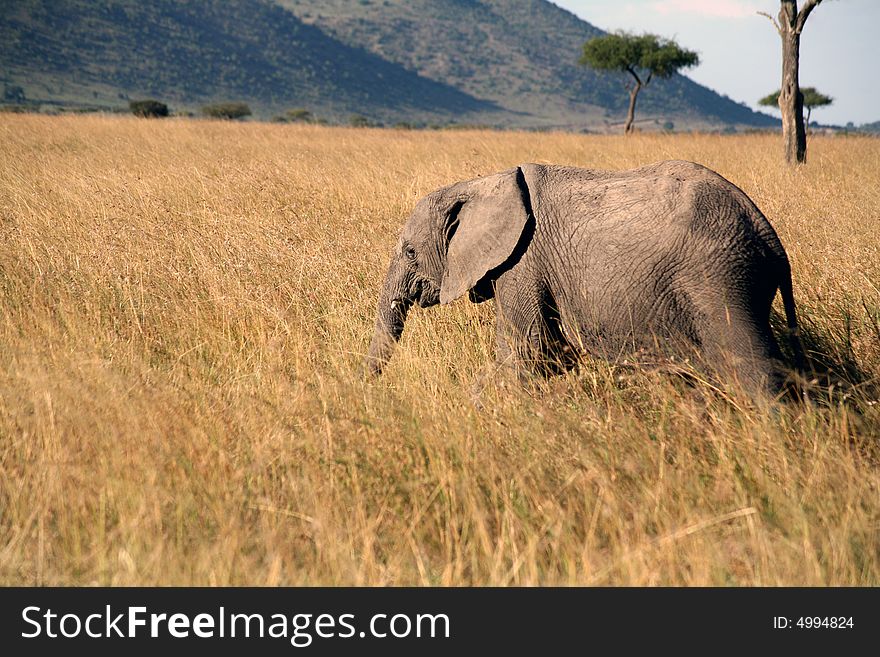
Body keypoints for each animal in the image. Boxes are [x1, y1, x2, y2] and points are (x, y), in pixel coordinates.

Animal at [364, 160, 804, 394]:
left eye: (410, 252)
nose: (370, 391)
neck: (484, 183)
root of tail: (769, 236)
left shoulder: (523, 263)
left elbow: (529, 352)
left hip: (721, 280)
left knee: (754, 369)